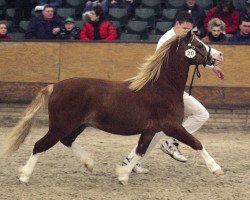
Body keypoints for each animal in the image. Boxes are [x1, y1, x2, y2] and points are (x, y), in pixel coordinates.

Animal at [3, 31, 223, 184]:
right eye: (199, 45)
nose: (219, 55)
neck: (162, 87)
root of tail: (55, 86)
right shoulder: (171, 126)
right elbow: (196, 143)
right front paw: (216, 169)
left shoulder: (150, 130)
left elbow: (140, 151)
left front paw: (123, 175)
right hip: (60, 125)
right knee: (40, 145)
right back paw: (24, 176)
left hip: (78, 125)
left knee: (67, 141)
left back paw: (89, 164)